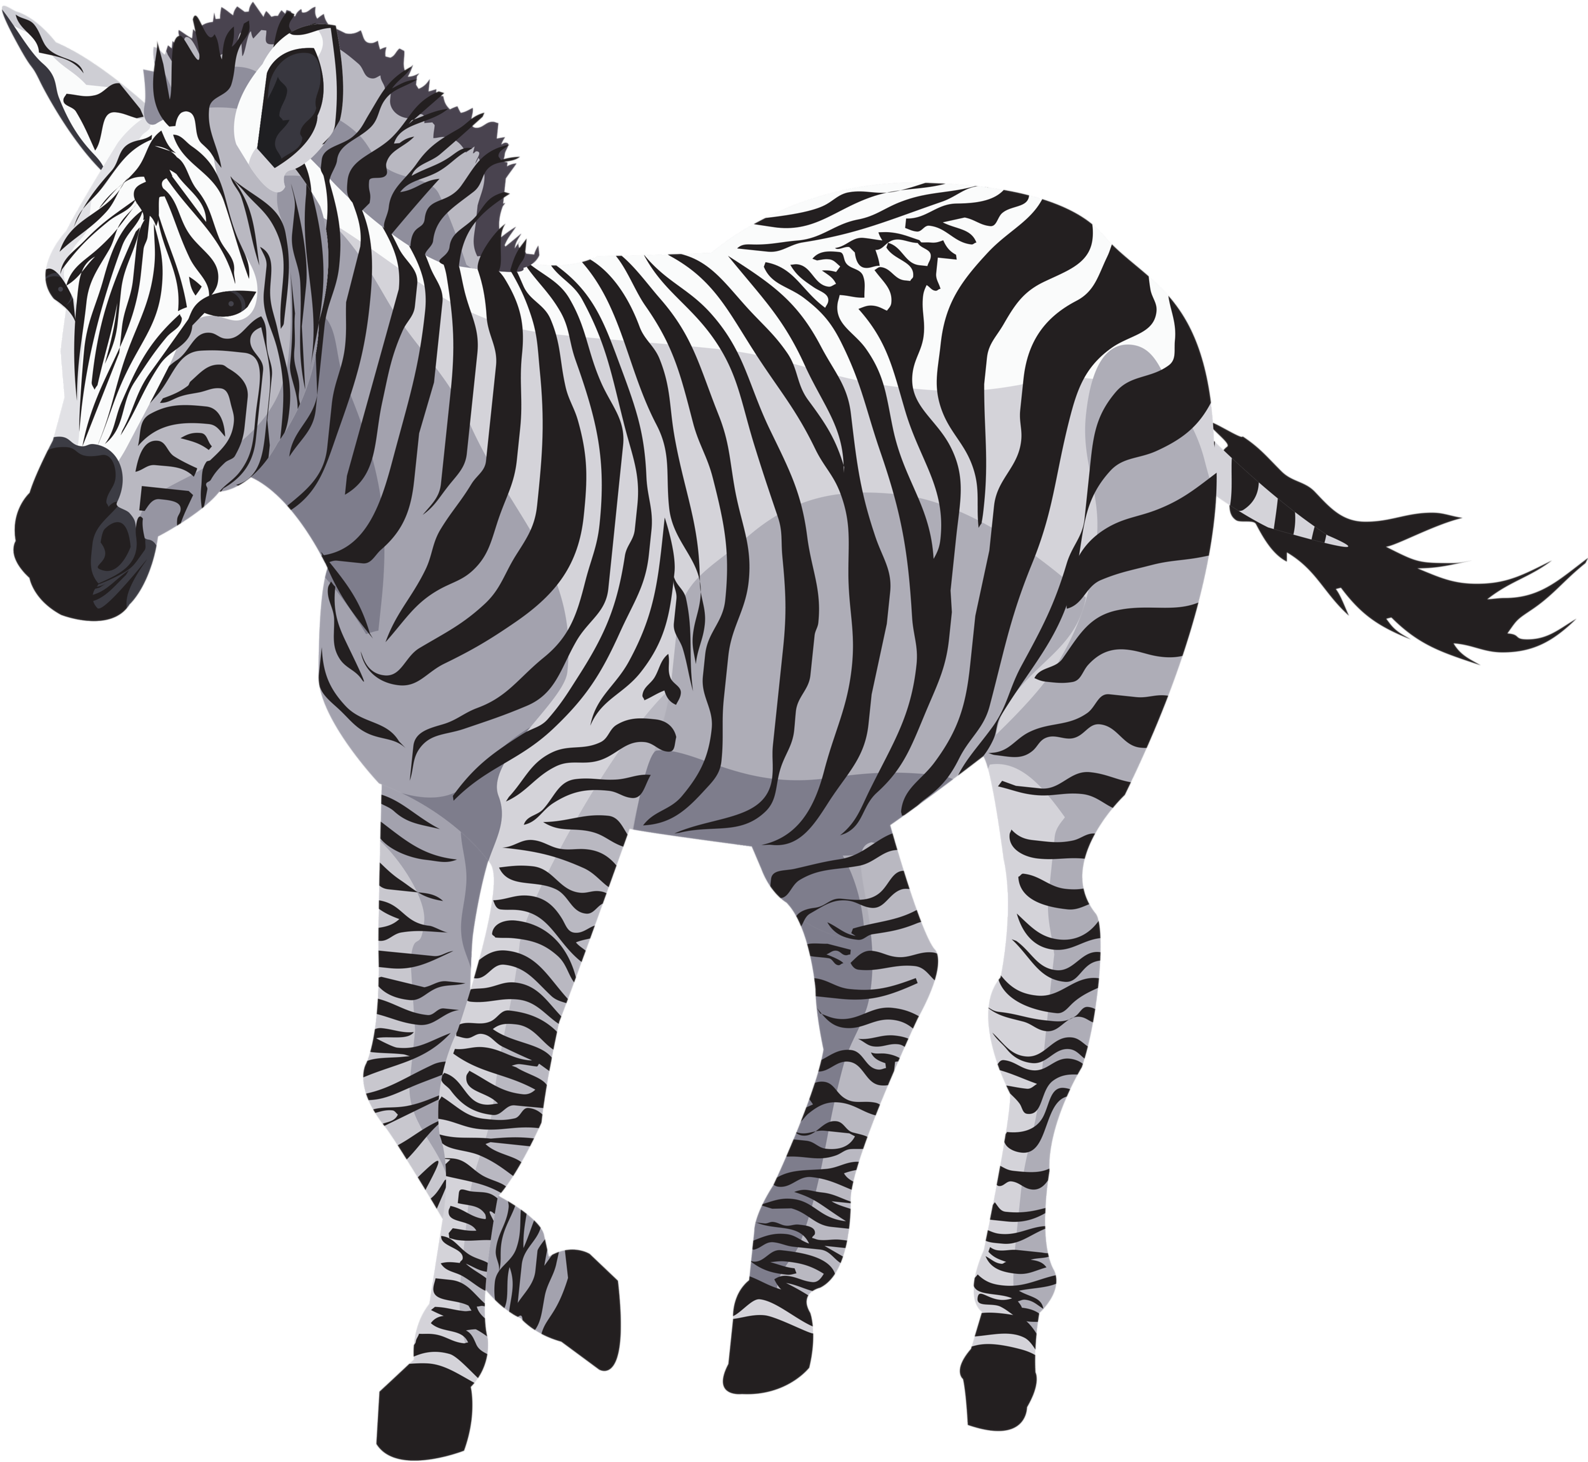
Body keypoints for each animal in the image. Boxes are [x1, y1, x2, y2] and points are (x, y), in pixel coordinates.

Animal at [6, 6, 1579, 1456]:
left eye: (222, 307)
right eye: (60, 289)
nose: (57, 552)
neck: (413, 498)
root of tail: (1072, 222)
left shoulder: (569, 788)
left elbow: (490, 1080)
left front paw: (443, 1376)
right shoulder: (415, 791)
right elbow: (400, 1068)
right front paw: (576, 1299)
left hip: (1080, 701)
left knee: (1043, 996)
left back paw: (1001, 1336)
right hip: (825, 753)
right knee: (886, 969)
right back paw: (774, 1302)